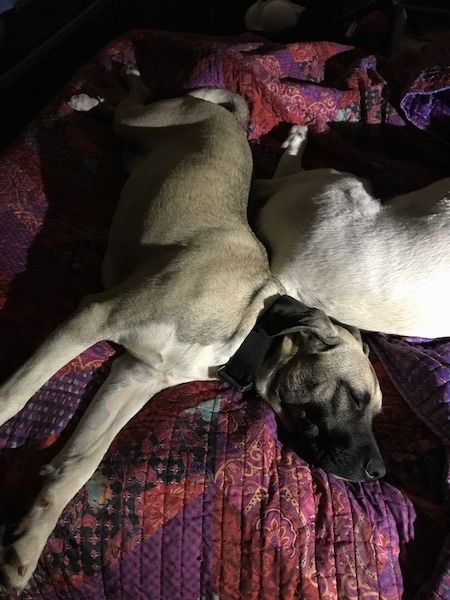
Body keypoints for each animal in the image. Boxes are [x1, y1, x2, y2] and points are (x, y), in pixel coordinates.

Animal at [0, 71, 384, 592]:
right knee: (136, 101)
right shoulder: (93, 316)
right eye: (356, 397)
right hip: (145, 122)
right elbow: (15, 396)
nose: (378, 473)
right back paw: (105, 88)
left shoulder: (134, 376)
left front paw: (27, 546)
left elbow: (78, 465)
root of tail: (229, 119)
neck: (246, 327)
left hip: (137, 149)